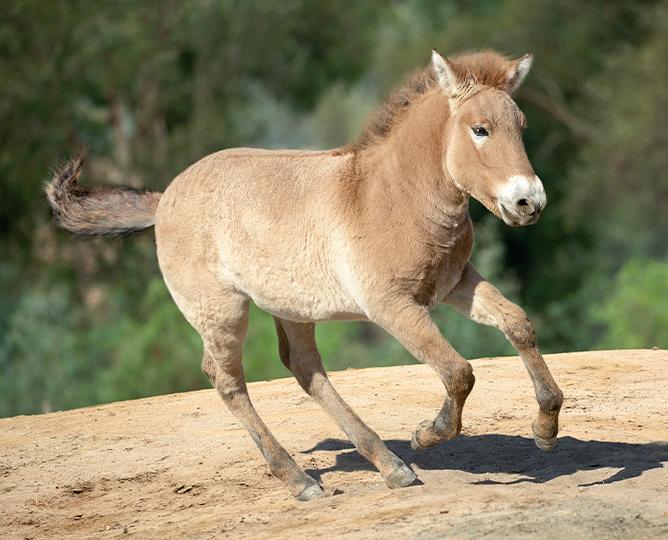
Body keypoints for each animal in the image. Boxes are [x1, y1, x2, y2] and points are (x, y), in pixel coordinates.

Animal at [46, 49, 563, 501]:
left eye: (521, 126)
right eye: (480, 129)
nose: (529, 203)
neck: (395, 196)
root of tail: (164, 199)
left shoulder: (455, 284)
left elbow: (518, 323)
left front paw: (546, 428)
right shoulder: (394, 308)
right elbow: (458, 372)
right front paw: (427, 434)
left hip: (291, 308)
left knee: (304, 369)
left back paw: (390, 467)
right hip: (223, 311)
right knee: (227, 380)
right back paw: (301, 481)